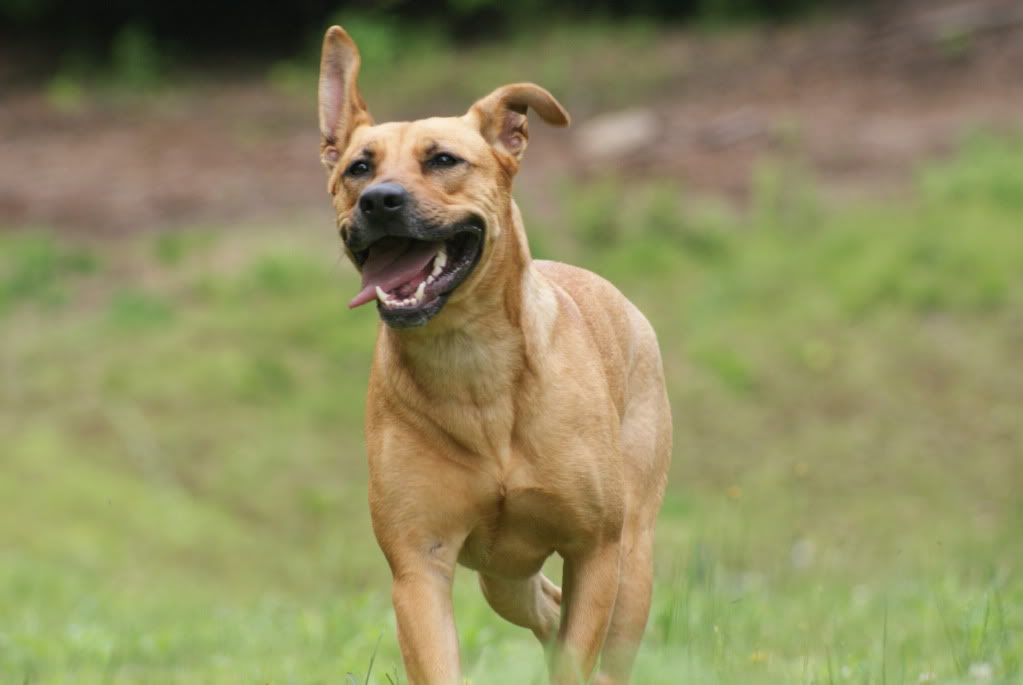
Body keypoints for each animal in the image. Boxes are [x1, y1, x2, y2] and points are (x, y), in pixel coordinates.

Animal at [317, 24, 671, 682]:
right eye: (358, 167)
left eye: (443, 160)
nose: (379, 199)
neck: (470, 360)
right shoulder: (419, 560)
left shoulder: (595, 549)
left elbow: (579, 658)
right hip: (502, 573)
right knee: (546, 609)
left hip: (632, 554)